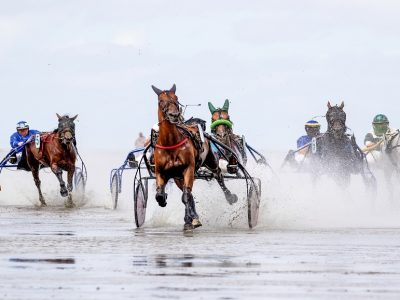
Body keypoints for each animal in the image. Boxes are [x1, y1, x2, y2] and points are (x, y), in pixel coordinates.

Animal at [150, 84, 238, 230]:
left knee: (218, 174)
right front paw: (165, 200)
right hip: (178, 177)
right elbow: (160, 196)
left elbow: (186, 196)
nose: (174, 115)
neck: (170, 143)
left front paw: (188, 221)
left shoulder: (188, 169)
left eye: (176, 98)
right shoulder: (161, 172)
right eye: (161, 101)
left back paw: (229, 197)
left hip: (210, 161)